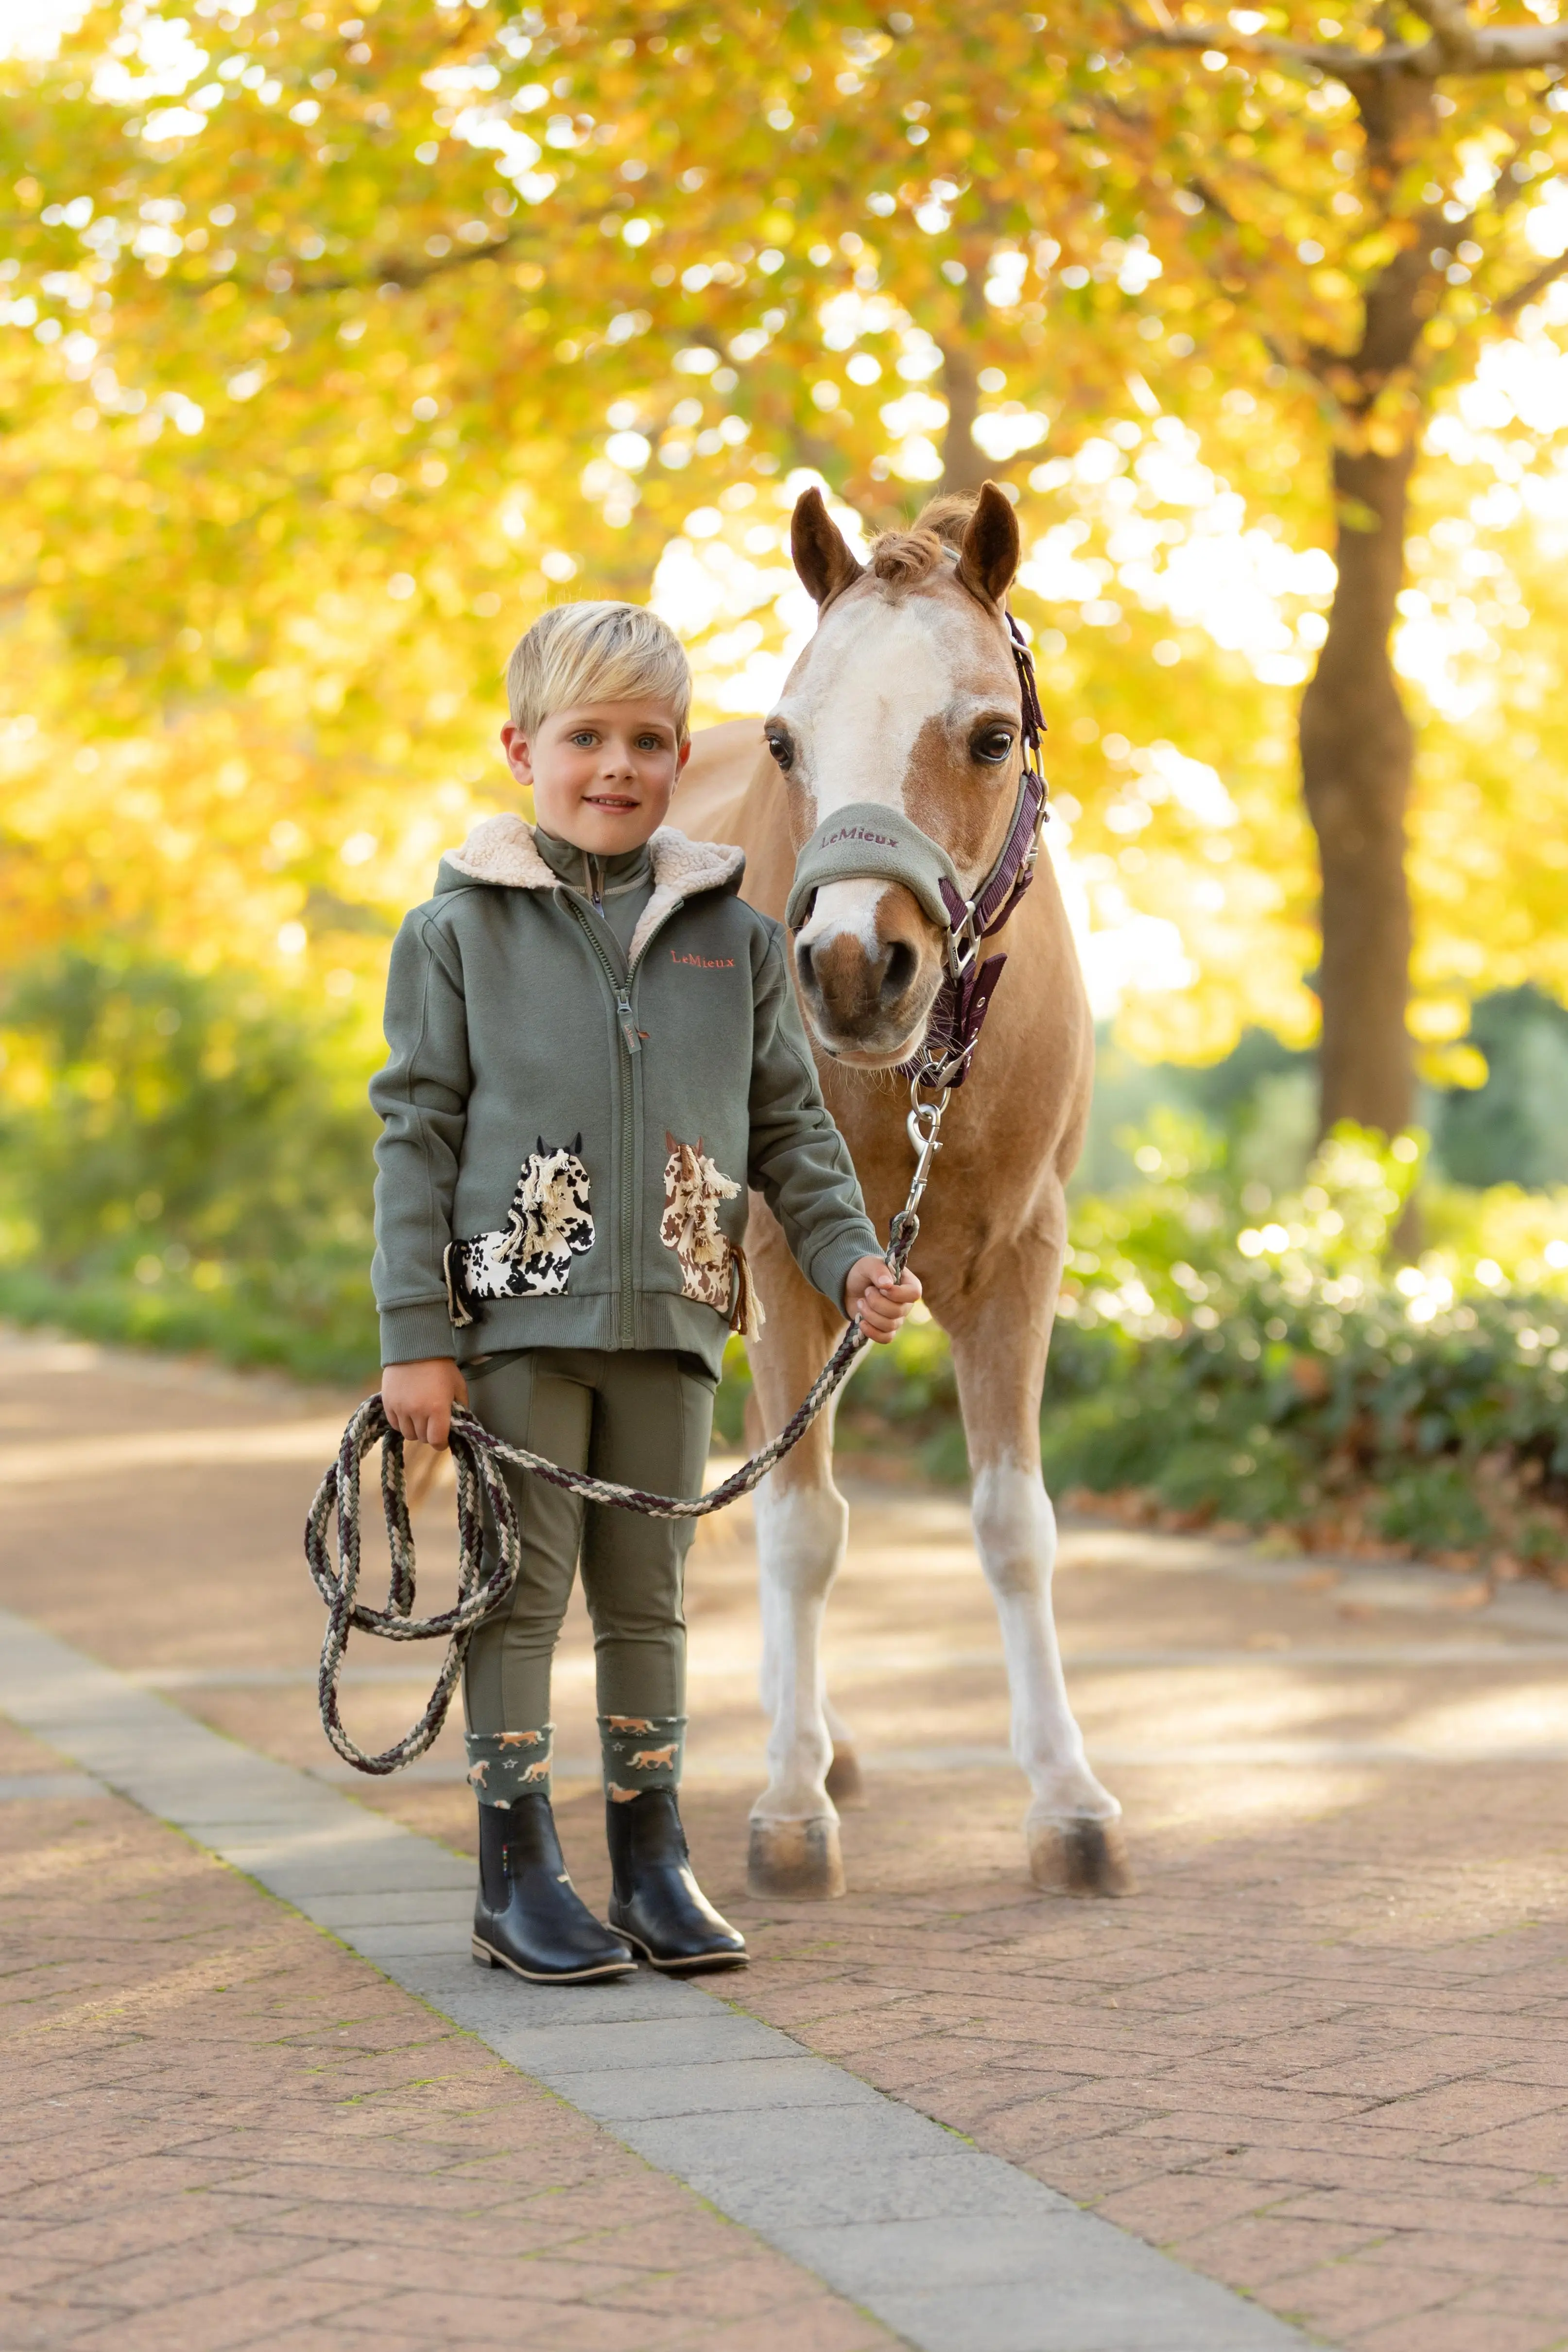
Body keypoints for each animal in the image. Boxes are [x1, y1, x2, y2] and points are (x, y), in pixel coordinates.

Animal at [670, 480, 1132, 1902]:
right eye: (786, 740)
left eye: (991, 736)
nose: (846, 967)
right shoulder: (775, 1257)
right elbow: (801, 1530)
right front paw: (786, 1808)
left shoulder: (1018, 1263)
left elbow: (1012, 1524)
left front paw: (1067, 1800)